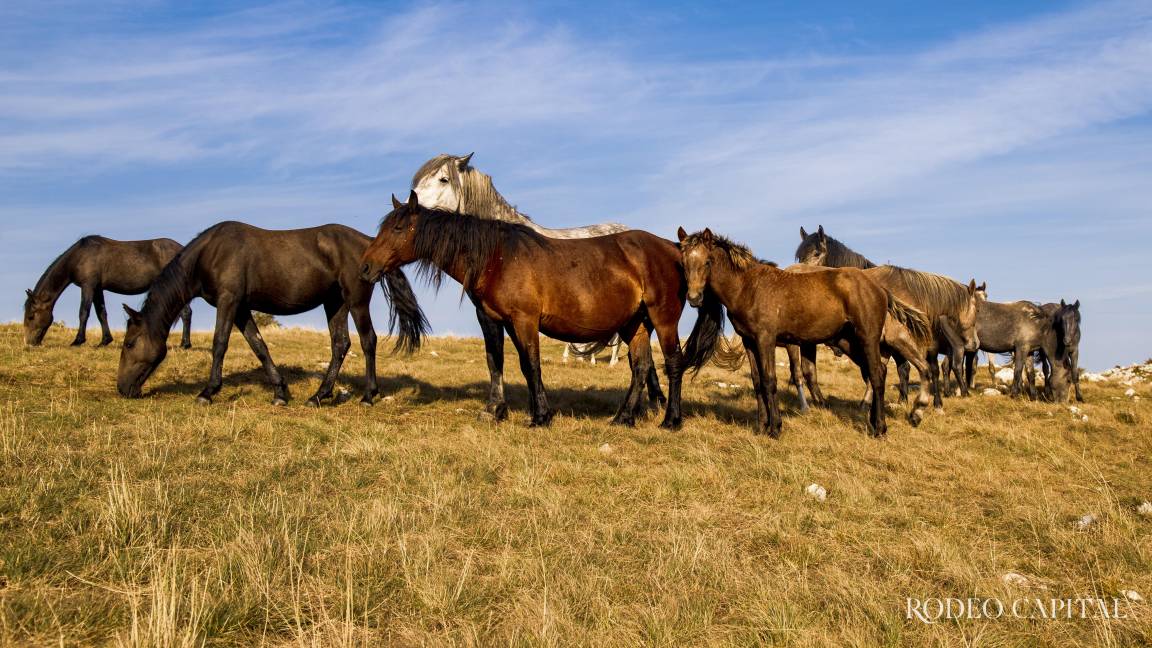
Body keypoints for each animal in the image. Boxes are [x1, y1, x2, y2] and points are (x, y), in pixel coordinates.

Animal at [24, 236, 192, 348]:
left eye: (31, 316)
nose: (30, 343)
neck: (80, 256)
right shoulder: (98, 288)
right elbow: (101, 313)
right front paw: (105, 341)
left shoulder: (88, 286)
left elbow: (83, 312)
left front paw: (78, 340)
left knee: (186, 313)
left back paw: (185, 344)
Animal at [117, 222, 426, 406]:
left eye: (130, 343)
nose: (122, 388)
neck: (211, 253)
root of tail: (369, 243)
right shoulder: (241, 308)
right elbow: (259, 346)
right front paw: (279, 392)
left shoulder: (228, 302)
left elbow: (220, 344)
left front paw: (207, 392)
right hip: (335, 303)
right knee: (340, 344)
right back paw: (318, 396)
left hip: (356, 301)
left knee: (367, 341)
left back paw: (368, 396)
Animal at [360, 192, 726, 428]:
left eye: (397, 228)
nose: (365, 267)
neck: (498, 257)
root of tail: (673, 249)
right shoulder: (492, 319)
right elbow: (495, 361)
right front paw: (495, 410)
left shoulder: (524, 320)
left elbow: (530, 365)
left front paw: (540, 416)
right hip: (635, 324)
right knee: (640, 366)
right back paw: (623, 418)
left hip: (662, 319)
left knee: (673, 363)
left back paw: (671, 420)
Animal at [679, 227, 920, 437]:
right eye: (684, 262)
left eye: (707, 262)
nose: (694, 298)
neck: (748, 287)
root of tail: (879, 288)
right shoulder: (749, 342)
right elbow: (757, 382)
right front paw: (761, 426)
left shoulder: (766, 340)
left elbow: (769, 380)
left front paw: (775, 427)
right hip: (851, 342)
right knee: (877, 371)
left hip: (867, 338)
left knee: (877, 375)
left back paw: (880, 428)